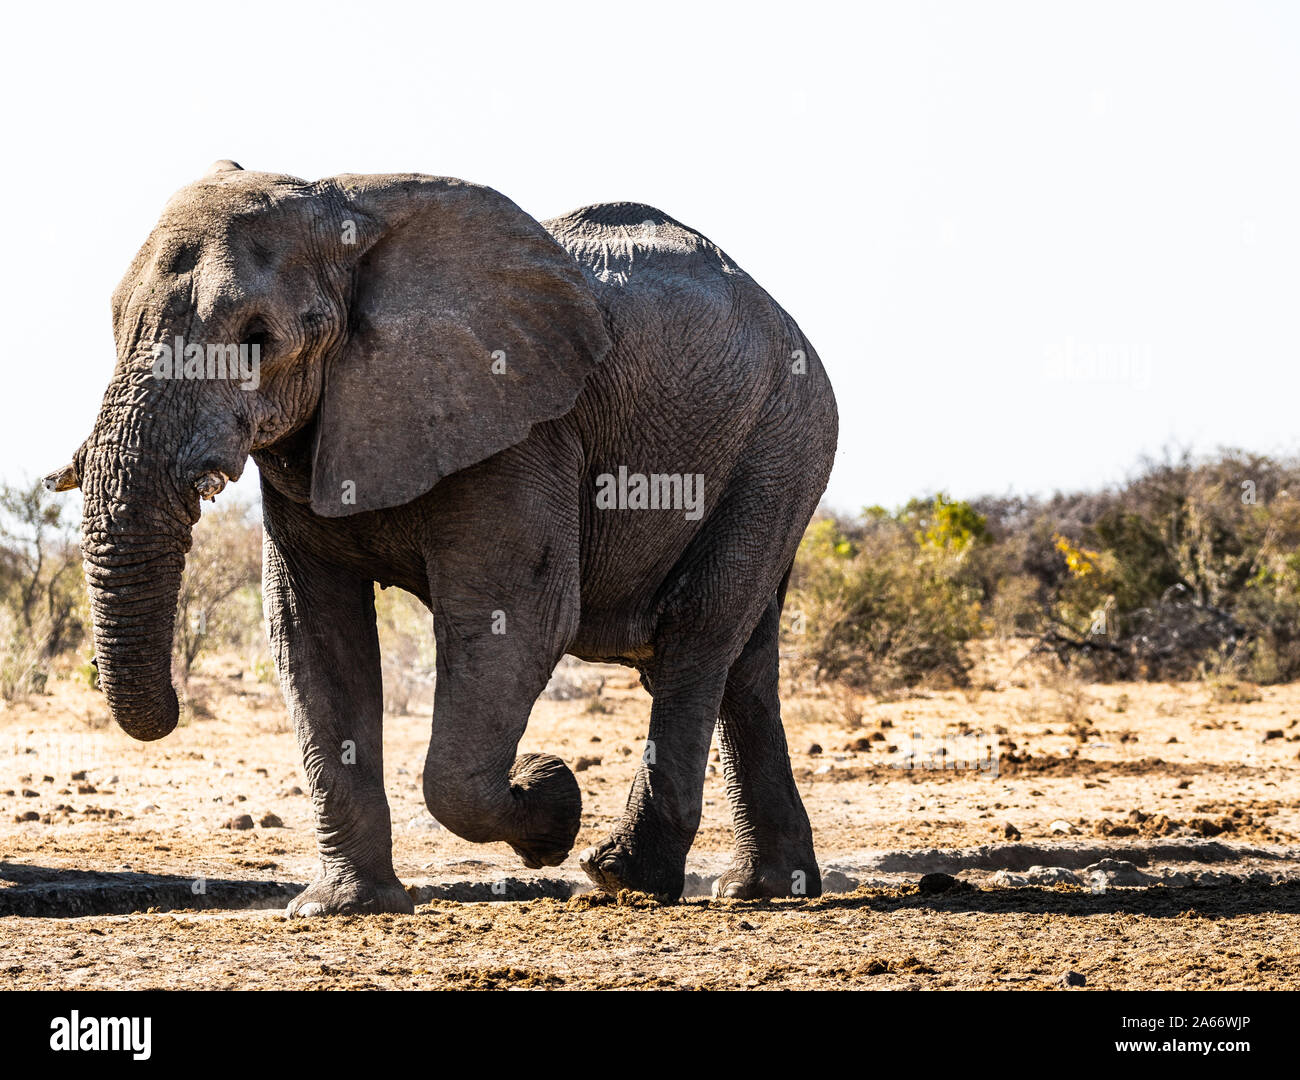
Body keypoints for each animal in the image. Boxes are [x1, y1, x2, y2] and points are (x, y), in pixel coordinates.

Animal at [50, 162, 837, 914]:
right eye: (115, 322)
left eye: (259, 339)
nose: (175, 709)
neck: (343, 213)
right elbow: (312, 634)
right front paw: (342, 907)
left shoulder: (524, 433)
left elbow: (515, 624)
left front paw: (550, 797)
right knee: (746, 663)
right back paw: (763, 888)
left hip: (781, 441)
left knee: (697, 635)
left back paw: (625, 876)